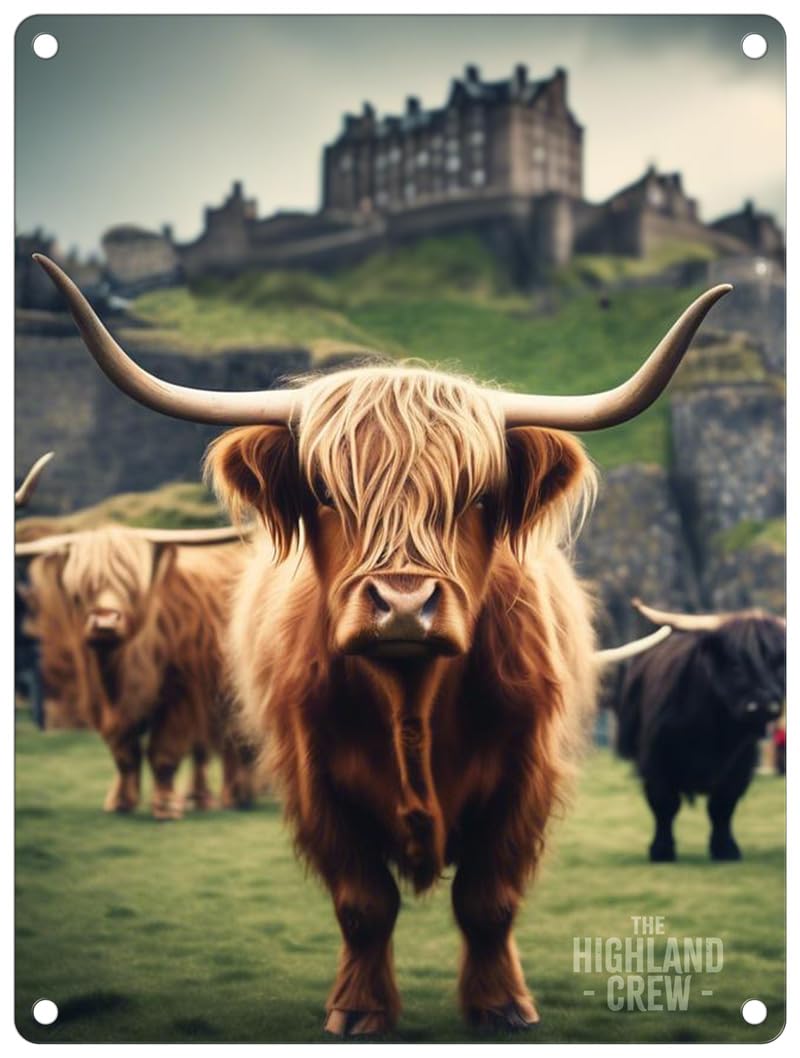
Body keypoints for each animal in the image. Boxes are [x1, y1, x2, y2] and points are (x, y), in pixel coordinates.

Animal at [17, 524, 255, 818]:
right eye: (79, 591)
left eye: (131, 588)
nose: (105, 622)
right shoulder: (105, 702)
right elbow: (125, 755)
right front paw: (120, 803)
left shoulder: (181, 695)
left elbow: (164, 751)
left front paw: (166, 807)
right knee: (206, 750)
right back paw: (200, 798)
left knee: (237, 745)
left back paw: (239, 797)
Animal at [615, 598, 786, 862]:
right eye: (736, 663)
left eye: (779, 663)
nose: (766, 703)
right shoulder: (655, 761)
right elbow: (664, 804)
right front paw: (662, 850)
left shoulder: (740, 766)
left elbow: (722, 806)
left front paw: (726, 849)